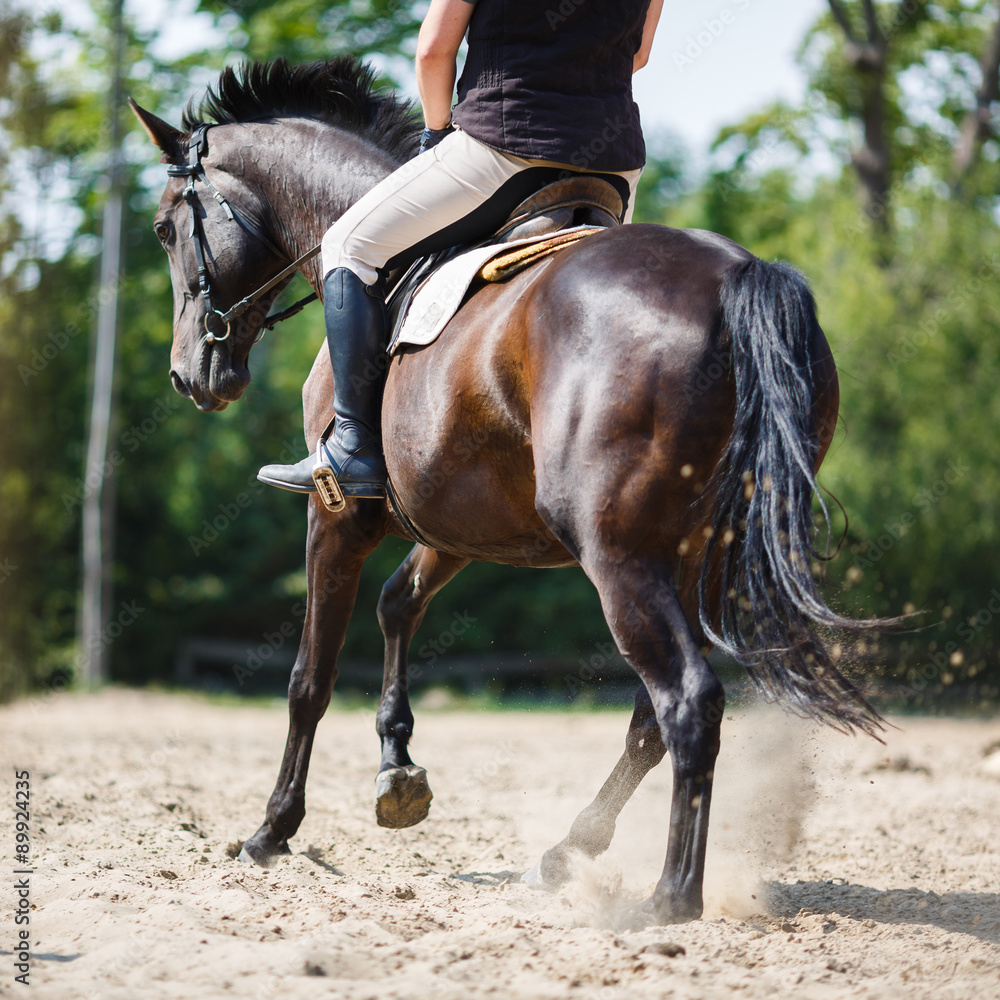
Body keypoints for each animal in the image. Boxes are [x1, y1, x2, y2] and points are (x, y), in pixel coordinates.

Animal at [131, 57, 886, 925]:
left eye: (164, 229)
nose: (189, 375)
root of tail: (735, 275)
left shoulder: (338, 517)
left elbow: (308, 680)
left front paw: (271, 830)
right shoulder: (462, 519)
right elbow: (398, 604)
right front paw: (397, 769)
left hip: (619, 555)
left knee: (687, 701)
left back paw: (668, 900)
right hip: (696, 556)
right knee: (652, 716)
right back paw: (569, 851)